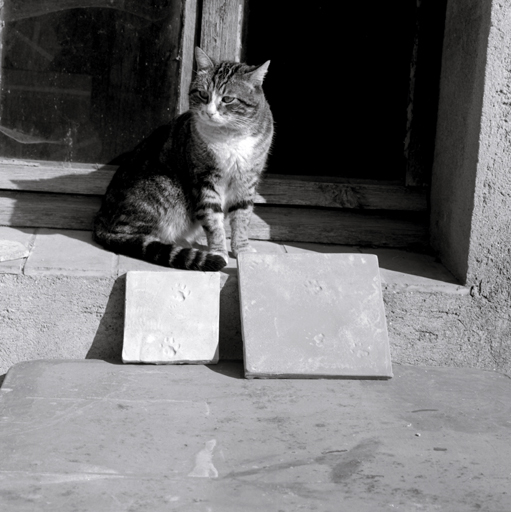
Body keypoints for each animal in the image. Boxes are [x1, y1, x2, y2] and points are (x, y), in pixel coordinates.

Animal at [93, 47, 274, 272]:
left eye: (227, 99)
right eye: (203, 95)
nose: (210, 112)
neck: (230, 137)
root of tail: (101, 218)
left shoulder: (247, 179)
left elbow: (242, 216)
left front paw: (242, 250)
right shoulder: (204, 178)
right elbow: (213, 221)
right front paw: (218, 252)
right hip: (161, 192)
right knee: (135, 237)